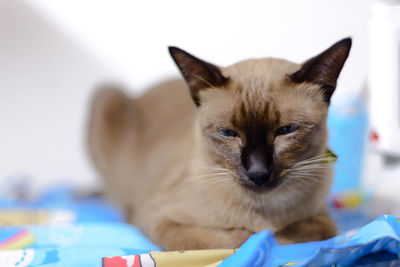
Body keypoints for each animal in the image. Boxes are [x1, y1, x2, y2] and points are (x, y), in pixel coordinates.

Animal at [87, 37, 350, 251]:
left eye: (285, 131)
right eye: (228, 133)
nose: (258, 173)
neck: (263, 213)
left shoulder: (322, 219)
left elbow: (309, 232)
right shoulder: (157, 218)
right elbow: (238, 240)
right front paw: (260, 238)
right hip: (107, 96)